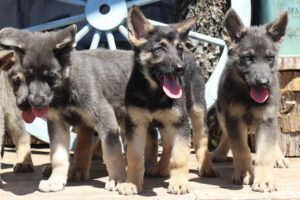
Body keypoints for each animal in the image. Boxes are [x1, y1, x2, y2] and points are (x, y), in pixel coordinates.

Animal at [118, 6, 218, 195]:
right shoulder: (136, 125)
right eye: (159, 49)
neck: (154, 94)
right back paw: (162, 167)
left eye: (178, 48)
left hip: (196, 111)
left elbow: (179, 157)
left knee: (200, 138)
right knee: (167, 143)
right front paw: (132, 183)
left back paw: (206, 166)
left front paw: (178, 183)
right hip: (166, 122)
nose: (181, 68)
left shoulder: (180, 124)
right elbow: (135, 157)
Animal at [216, 9, 288, 192]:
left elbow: (264, 153)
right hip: (221, 113)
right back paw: (218, 153)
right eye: (247, 58)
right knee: (226, 135)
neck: (248, 98)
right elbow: (240, 149)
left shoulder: (266, 120)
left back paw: (278, 157)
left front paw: (264, 180)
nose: (263, 83)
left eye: (270, 58)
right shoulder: (233, 119)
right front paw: (244, 174)